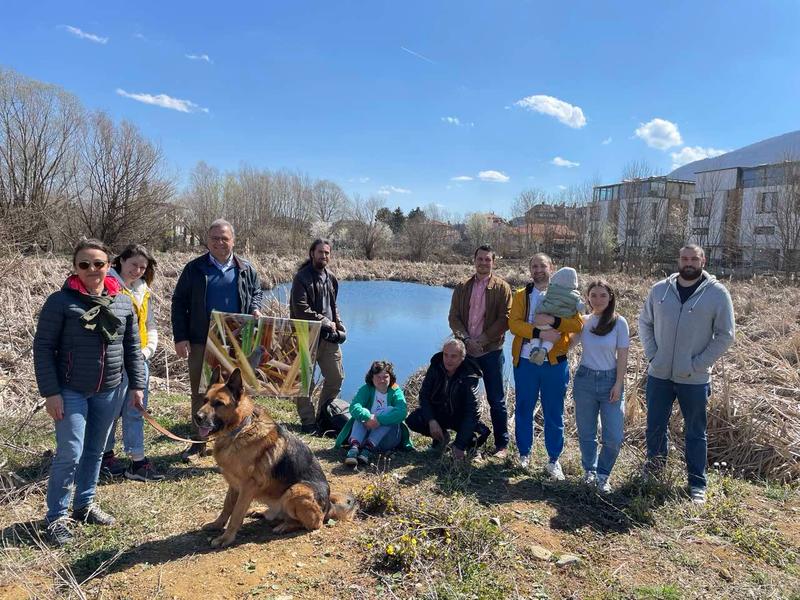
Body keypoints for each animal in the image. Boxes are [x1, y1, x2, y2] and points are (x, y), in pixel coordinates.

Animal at [195, 366, 354, 548]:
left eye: (219, 403)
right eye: (205, 400)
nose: (197, 417)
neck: (240, 429)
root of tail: (328, 506)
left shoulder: (247, 487)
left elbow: (236, 514)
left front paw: (226, 539)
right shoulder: (234, 485)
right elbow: (227, 507)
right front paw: (216, 525)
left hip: (297, 489)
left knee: (314, 523)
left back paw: (285, 526)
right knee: (278, 515)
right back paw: (262, 512)